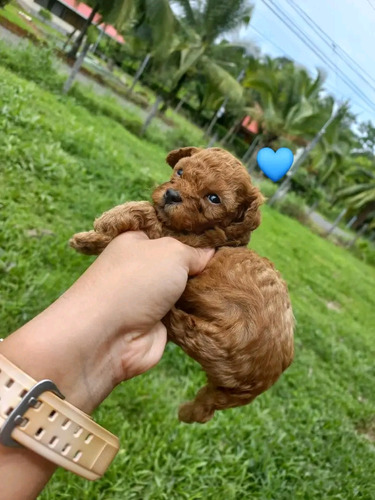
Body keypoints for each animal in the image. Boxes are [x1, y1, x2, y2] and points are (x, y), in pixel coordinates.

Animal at [70, 147, 294, 422]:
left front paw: (107, 221)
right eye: (179, 172)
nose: (172, 195)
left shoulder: (178, 238)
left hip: (212, 338)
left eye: (213, 198)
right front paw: (87, 241)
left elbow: (146, 211)